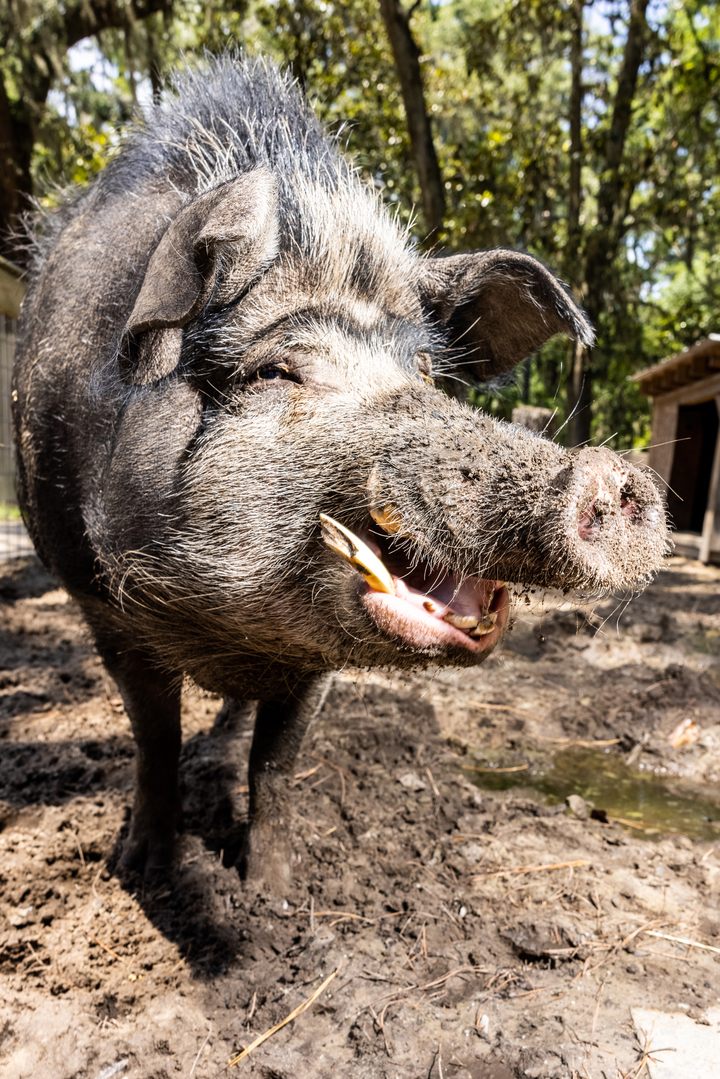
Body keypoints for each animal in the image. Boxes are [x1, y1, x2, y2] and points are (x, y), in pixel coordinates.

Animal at [11, 54, 669, 889]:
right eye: (276, 370)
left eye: (425, 371)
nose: (611, 474)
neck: (225, 628)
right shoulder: (99, 602)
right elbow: (154, 736)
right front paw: (143, 872)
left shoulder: (316, 657)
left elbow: (278, 758)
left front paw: (271, 892)